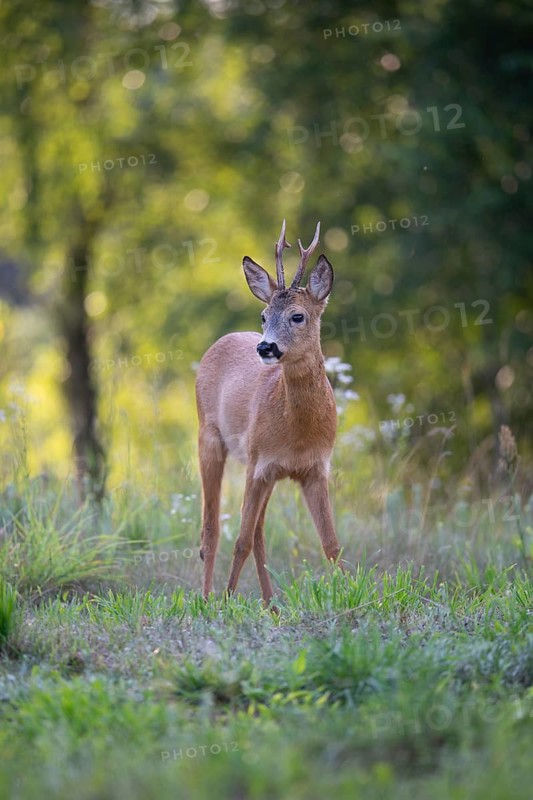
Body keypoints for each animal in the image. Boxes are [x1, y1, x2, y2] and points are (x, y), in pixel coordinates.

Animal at [195, 220, 343, 607]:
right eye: (264, 316)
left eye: (298, 315)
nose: (265, 347)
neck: (298, 431)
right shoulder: (259, 462)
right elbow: (240, 540)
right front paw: (227, 600)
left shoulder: (314, 468)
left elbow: (331, 544)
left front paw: (350, 592)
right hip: (210, 438)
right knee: (212, 529)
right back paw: (207, 598)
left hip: (264, 470)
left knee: (259, 532)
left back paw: (271, 605)